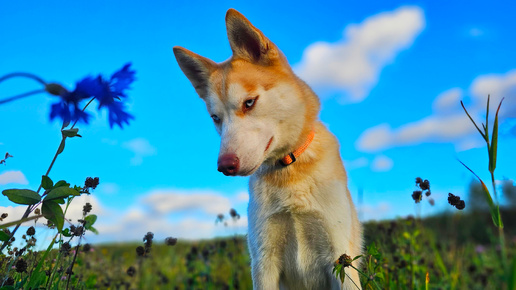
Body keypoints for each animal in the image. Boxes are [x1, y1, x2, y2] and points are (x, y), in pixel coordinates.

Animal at [173, 9, 362, 290]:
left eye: (249, 103)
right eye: (216, 118)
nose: (224, 166)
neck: (289, 170)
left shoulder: (341, 259)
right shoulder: (264, 262)